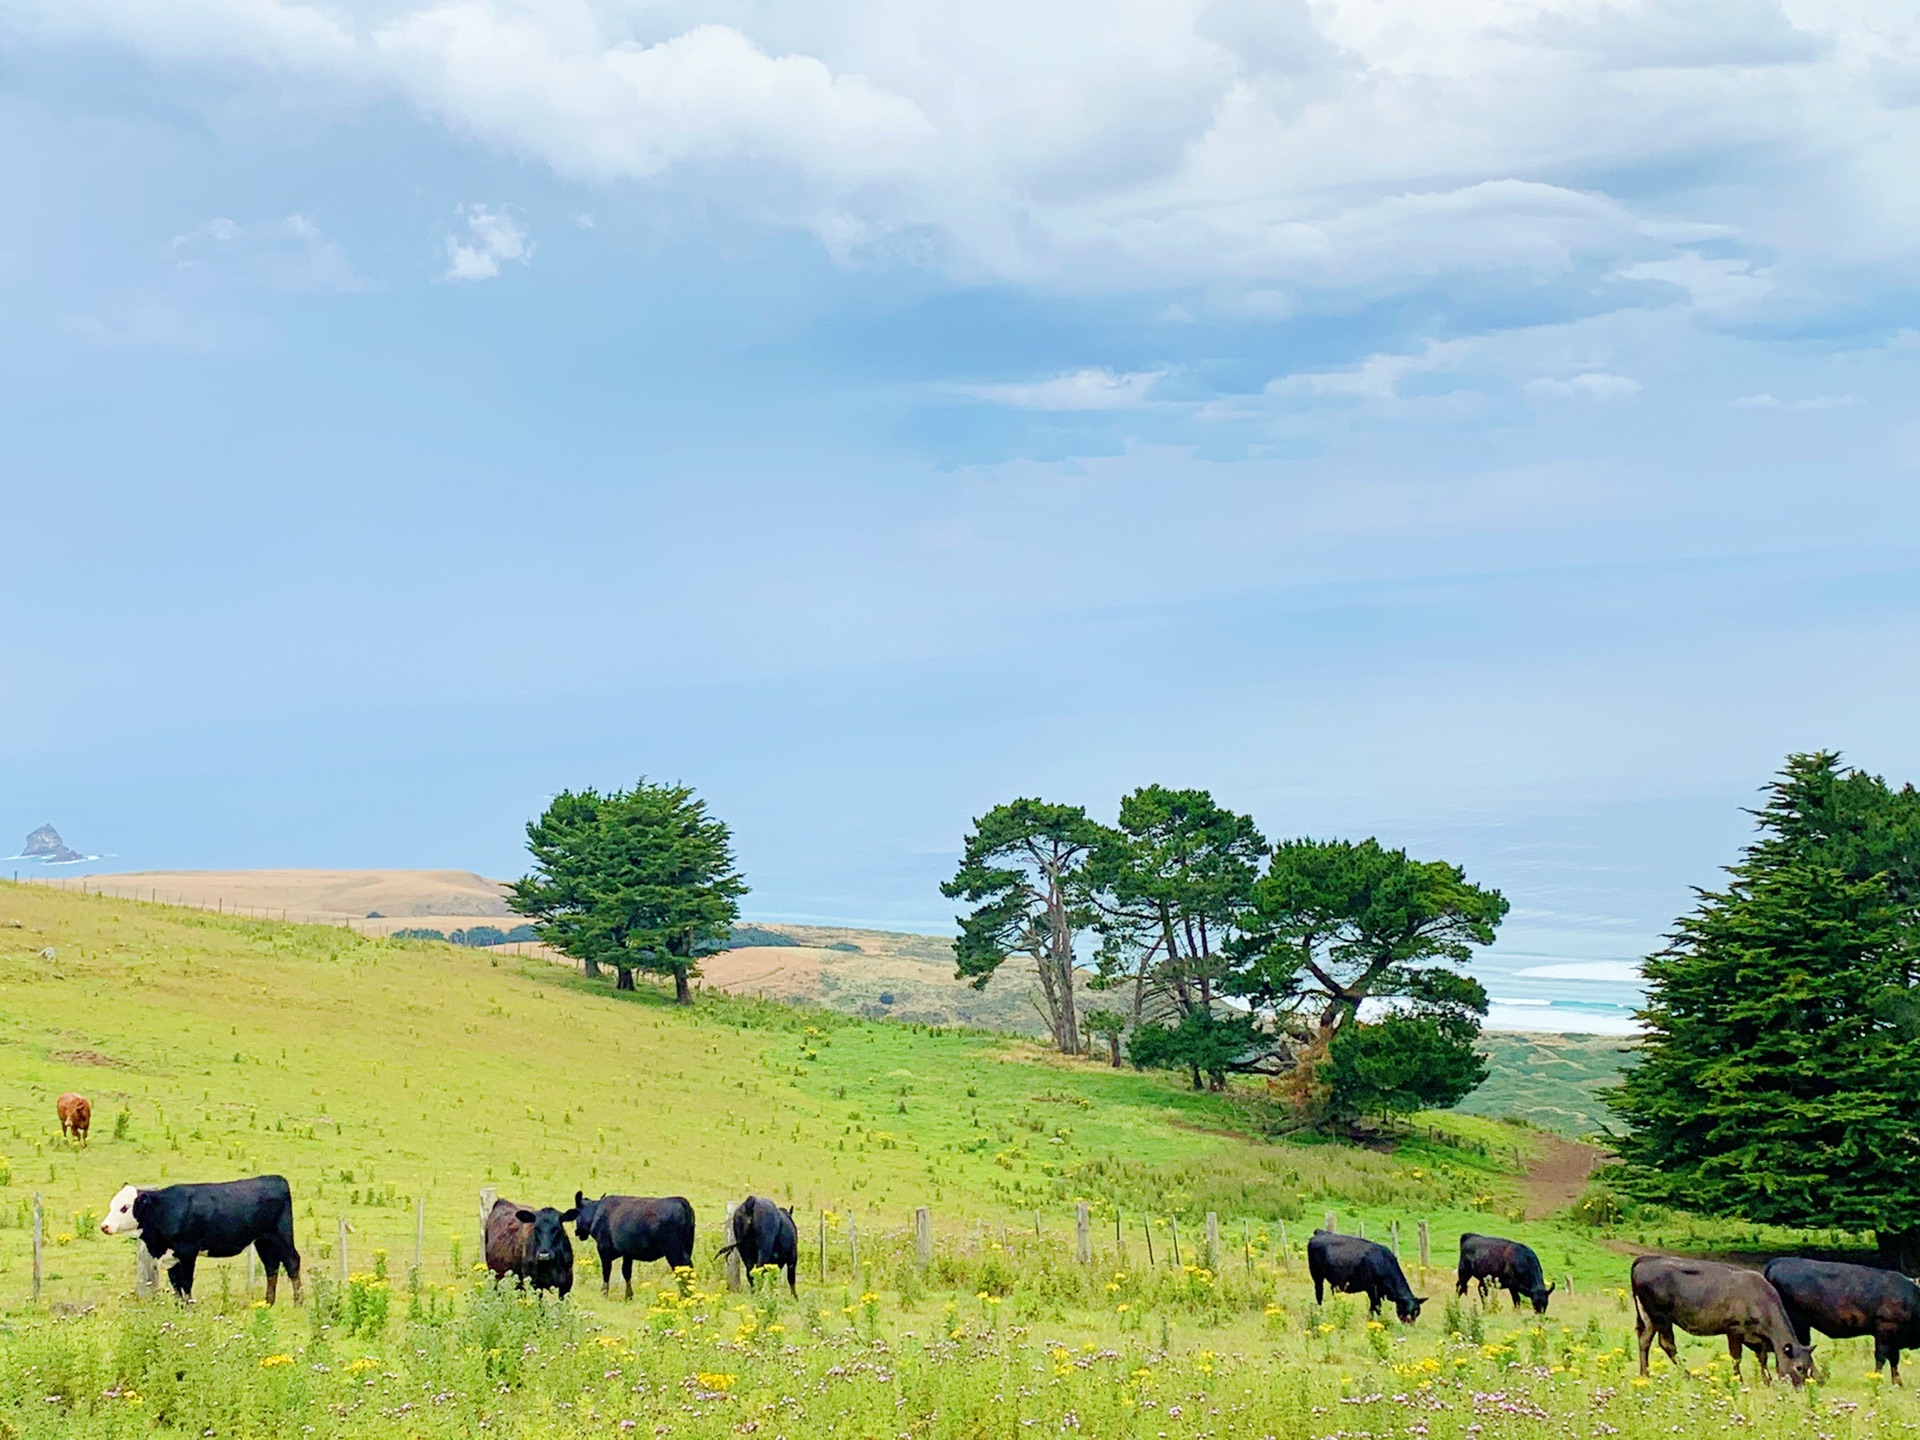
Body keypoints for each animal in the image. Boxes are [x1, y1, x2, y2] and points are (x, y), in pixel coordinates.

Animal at [100, 1175, 301, 1305]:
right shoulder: (172, 1256)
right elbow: (176, 1284)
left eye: (124, 1207)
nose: (104, 1226)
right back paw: (268, 1302)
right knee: (271, 1266)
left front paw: (190, 1308)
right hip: (263, 1240)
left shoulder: (188, 1251)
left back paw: (298, 1302)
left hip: (282, 1235)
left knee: (291, 1262)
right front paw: (179, 1308)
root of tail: (276, 1179)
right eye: (111, 1205)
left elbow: (186, 1282)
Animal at [1635, 1259, 1812, 1390]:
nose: (1801, 1390)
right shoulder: (1734, 1330)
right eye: (1799, 1367)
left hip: (1648, 1316)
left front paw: (1766, 1381)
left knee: (1644, 1340)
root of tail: (1644, 1260)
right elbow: (1736, 1357)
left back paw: (1645, 1375)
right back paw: (1688, 1375)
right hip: (1661, 1316)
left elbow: (1762, 1358)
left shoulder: (1758, 1338)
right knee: (1667, 1344)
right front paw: (1738, 1381)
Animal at [1758, 1259, 1920, 1390]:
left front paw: (1898, 1384)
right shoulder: (1885, 1331)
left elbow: (1894, 1359)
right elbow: (1881, 1357)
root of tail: (1776, 1262)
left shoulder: (1894, 1338)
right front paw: (1877, 1380)